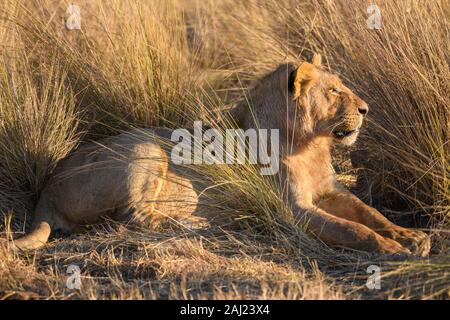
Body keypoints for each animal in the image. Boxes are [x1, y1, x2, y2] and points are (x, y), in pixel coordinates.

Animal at [10, 53, 430, 256]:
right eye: (333, 91)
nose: (366, 109)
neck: (308, 144)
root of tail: (45, 194)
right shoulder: (292, 210)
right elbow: (351, 228)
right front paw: (392, 249)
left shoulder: (332, 190)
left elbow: (369, 213)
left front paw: (409, 236)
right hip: (144, 148)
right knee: (132, 219)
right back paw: (196, 224)